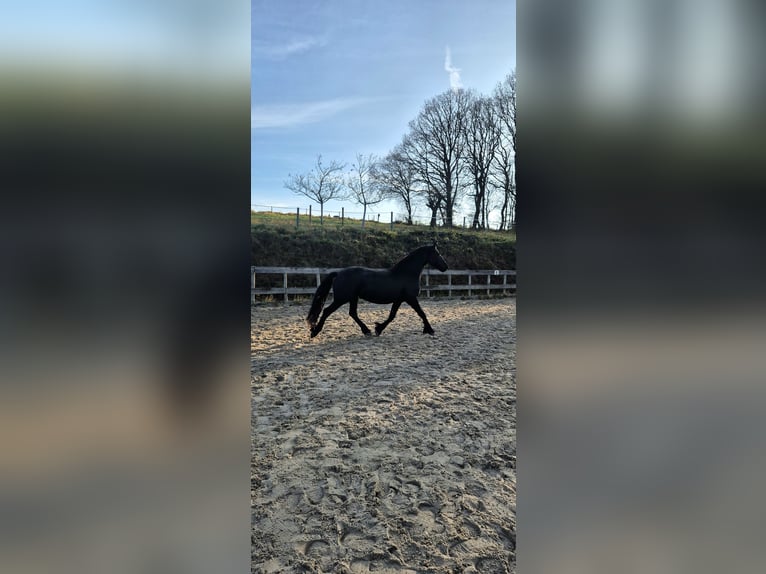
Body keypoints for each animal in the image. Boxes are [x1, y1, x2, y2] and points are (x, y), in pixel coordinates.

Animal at [306, 243, 449, 338]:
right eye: (438, 253)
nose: (445, 267)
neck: (405, 274)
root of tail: (338, 273)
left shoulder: (399, 299)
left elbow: (392, 316)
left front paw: (378, 328)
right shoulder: (410, 298)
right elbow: (422, 313)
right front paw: (430, 330)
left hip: (353, 298)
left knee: (353, 313)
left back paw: (366, 331)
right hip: (342, 298)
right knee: (327, 311)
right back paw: (314, 332)